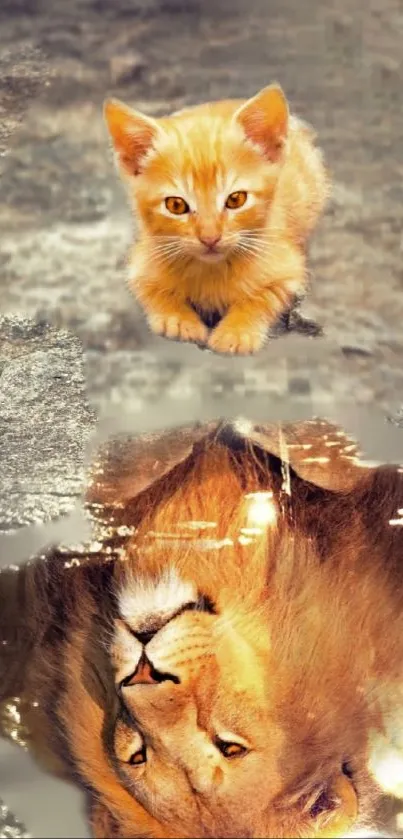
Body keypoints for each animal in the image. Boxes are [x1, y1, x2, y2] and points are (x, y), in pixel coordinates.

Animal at [104, 87, 328, 356]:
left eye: (236, 199)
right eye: (176, 205)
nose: (210, 238)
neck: (211, 270)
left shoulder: (289, 270)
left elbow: (264, 295)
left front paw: (236, 331)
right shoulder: (141, 264)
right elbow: (152, 290)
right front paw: (179, 320)